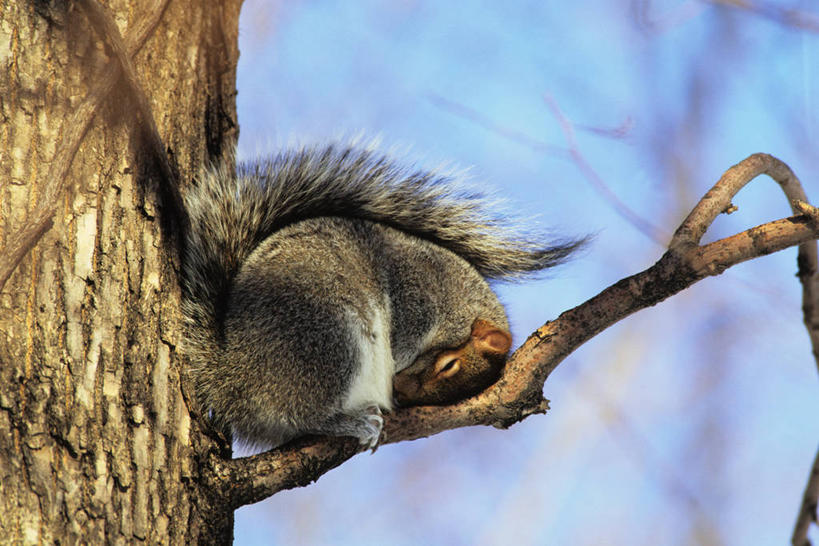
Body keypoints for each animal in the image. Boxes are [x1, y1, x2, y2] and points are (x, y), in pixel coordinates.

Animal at [179, 142, 584, 448]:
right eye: (449, 365)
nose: (400, 392)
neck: (457, 298)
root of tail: (232, 379)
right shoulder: (415, 293)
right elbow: (403, 332)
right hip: (327, 336)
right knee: (298, 413)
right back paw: (349, 422)